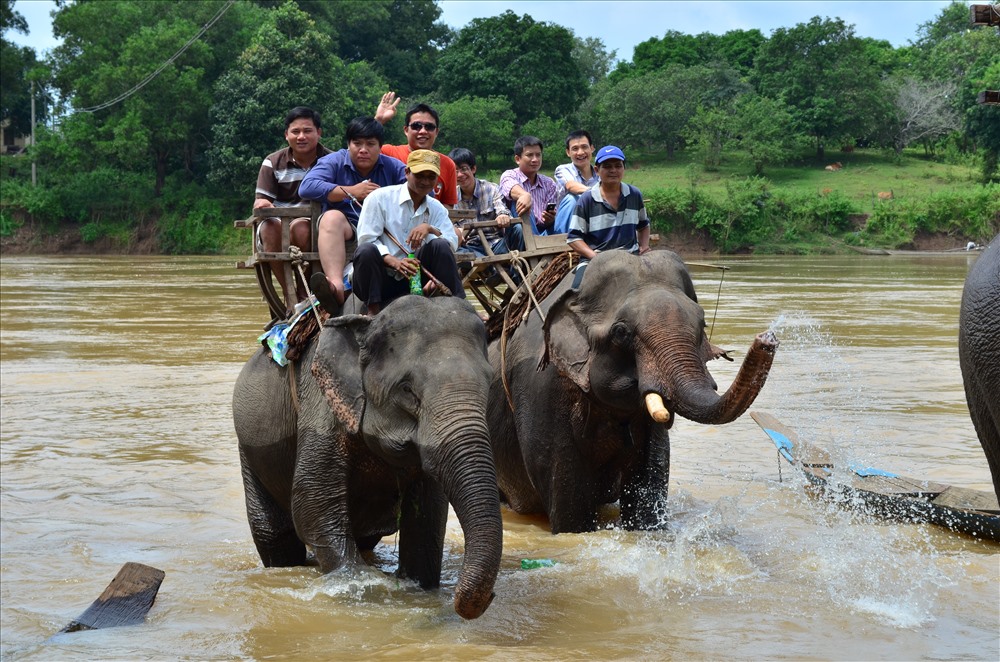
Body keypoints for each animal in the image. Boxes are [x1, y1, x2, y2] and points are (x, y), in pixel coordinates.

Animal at [232, 296, 500, 624]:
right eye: (407, 389)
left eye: (490, 382)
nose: (490, 597)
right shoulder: (321, 405)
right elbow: (312, 503)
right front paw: (358, 586)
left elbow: (427, 518)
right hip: (249, 449)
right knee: (274, 534)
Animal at [484, 252, 780, 536]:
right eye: (621, 332)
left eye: (703, 323)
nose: (767, 339)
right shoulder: (543, 392)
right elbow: (571, 512)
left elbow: (647, 489)